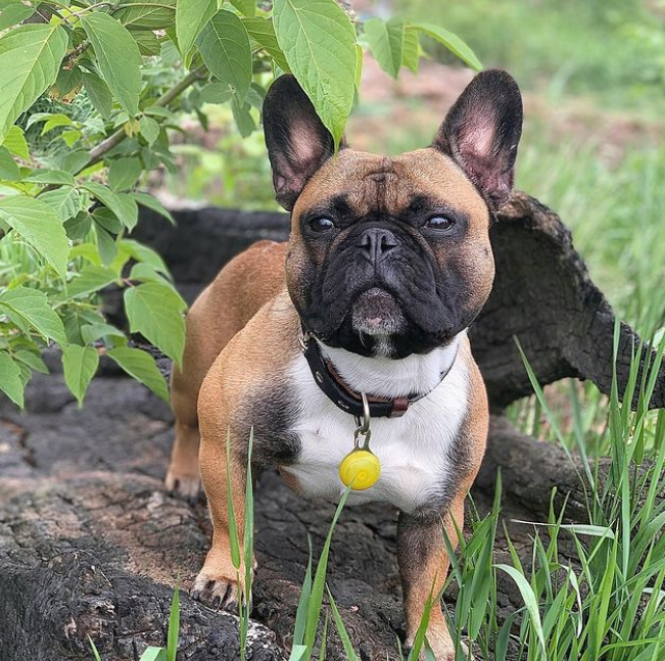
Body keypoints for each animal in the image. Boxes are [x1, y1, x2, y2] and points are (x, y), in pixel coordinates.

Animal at [166, 70, 523, 659]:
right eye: (323, 221)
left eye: (439, 221)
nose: (376, 238)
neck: (371, 383)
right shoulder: (230, 444)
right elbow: (233, 521)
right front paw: (228, 578)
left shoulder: (437, 512)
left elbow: (427, 584)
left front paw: (431, 640)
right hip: (192, 370)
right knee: (186, 424)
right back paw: (182, 474)